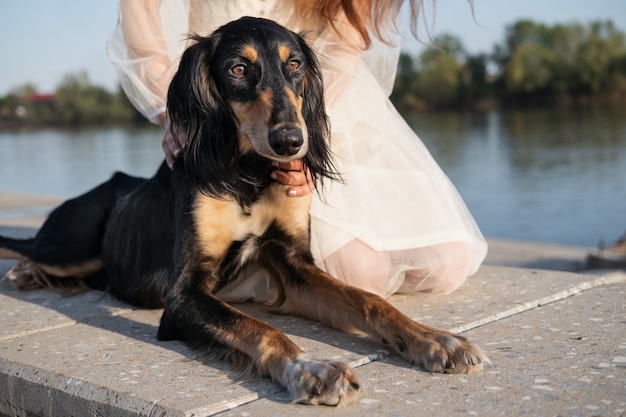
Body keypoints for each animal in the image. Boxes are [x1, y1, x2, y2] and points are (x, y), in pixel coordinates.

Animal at [0, 17, 486, 404]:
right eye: (238, 69)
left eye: (295, 65)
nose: (291, 141)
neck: (247, 174)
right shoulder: (183, 295)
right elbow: (259, 328)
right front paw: (310, 368)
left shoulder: (292, 266)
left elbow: (370, 300)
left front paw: (434, 340)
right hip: (71, 245)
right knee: (27, 246)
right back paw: (25, 272)